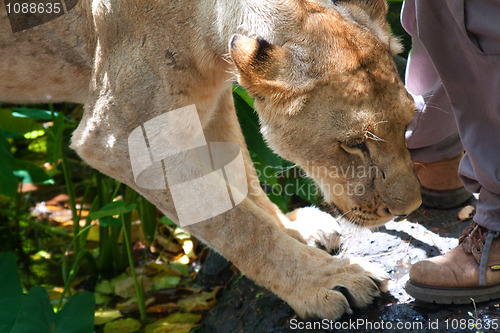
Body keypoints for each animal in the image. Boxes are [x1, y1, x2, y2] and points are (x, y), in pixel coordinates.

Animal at [0, 0, 422, 318]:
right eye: (354, 144)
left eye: (409, 121)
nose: (412, 207)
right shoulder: (120, 137)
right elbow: (233, 221)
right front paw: (327, 280)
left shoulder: (210, 100)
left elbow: (241, 178)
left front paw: (294, 229)